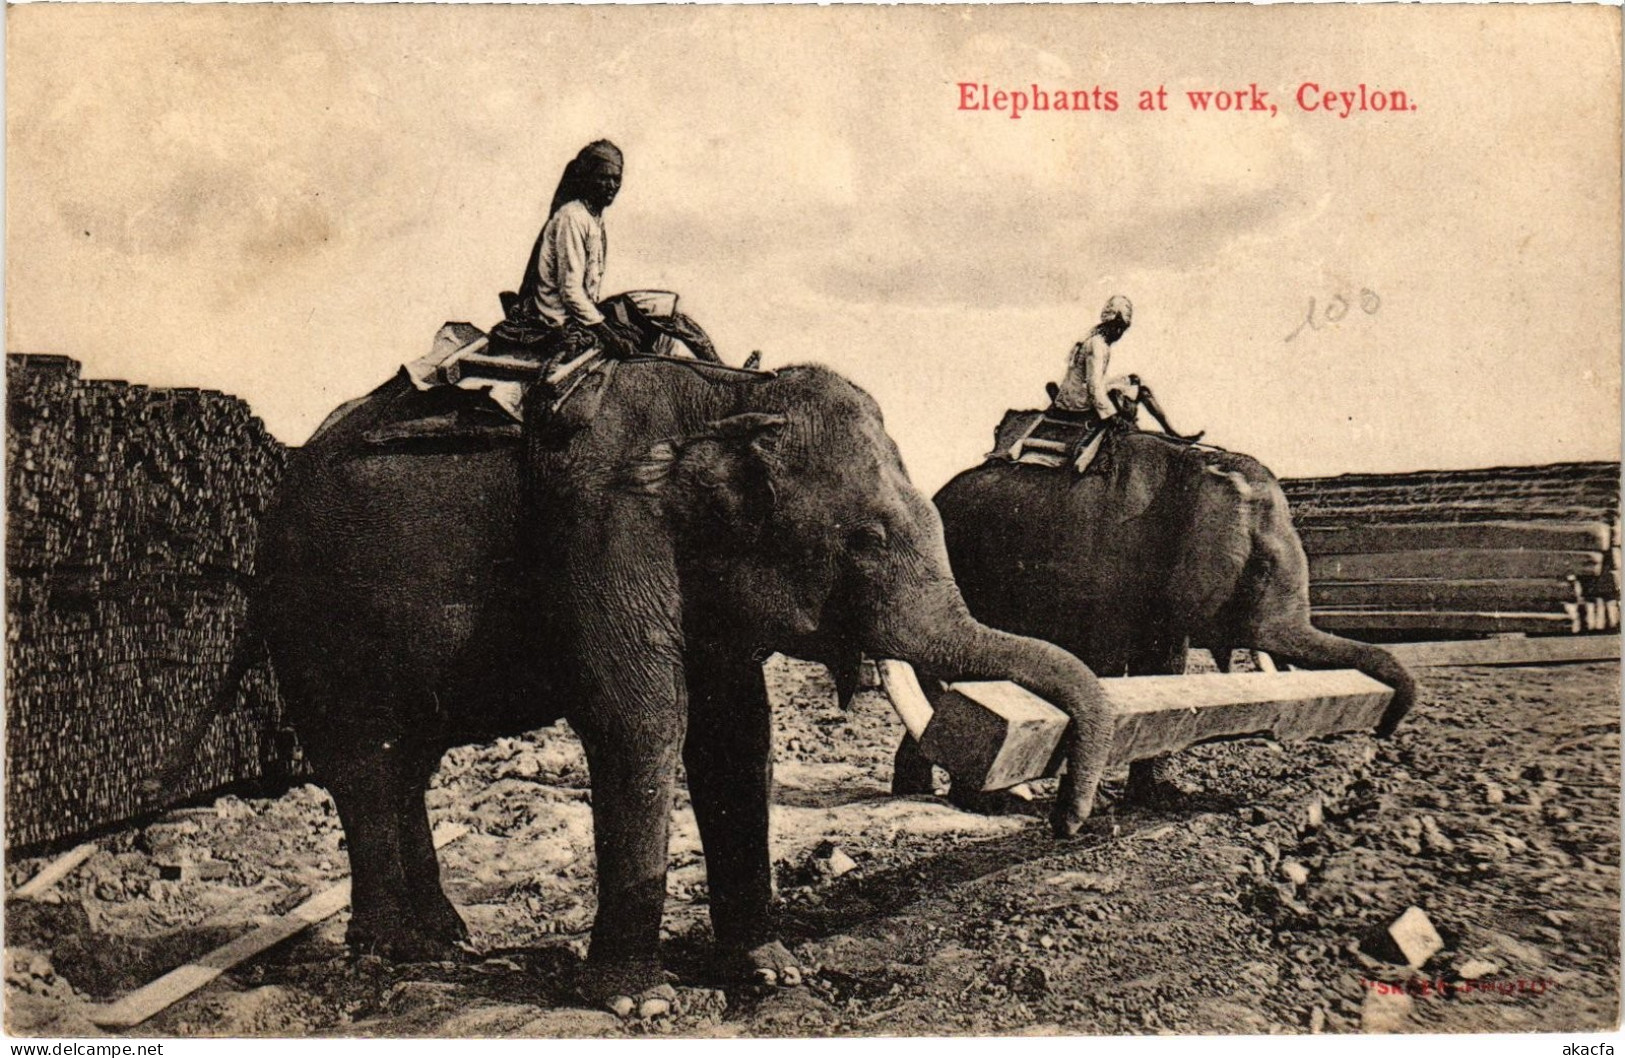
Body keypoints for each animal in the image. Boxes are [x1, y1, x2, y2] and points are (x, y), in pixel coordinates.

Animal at [253, 358, 1118, 1008]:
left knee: (407, 766)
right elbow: (642, 720)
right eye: (865, 539)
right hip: (311, 619)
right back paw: (392, 954)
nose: (1067, 824)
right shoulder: (606, 527)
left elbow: (736, 731)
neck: (728, 399)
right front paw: (640, 1002)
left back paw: (443, 942)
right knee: (365, 765)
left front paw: (771, 972)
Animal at [893, 428, 1415, 805]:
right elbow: (1103, 666)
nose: (1384, 732)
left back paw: (934, 793)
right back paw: (961, 799)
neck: (1194, 467)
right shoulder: (1102, 570)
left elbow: (1165, 666)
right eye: (1260, 567)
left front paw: (1157, 798)